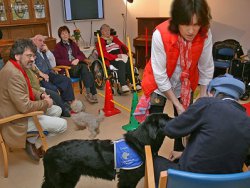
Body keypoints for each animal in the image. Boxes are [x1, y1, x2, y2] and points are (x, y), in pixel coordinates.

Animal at [41, 113, 172, 188]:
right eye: (168, 120)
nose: (175, 117)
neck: (141, 142)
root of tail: (49, 151)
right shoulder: (127, 180)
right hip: (64, 180)